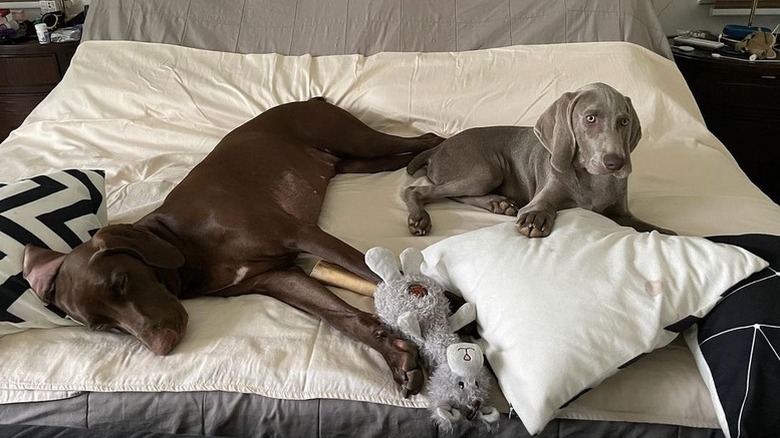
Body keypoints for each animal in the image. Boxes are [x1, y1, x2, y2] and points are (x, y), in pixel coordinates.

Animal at [21, 98, 442, 396]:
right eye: (103, 326)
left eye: (120, 282)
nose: (161, 347)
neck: (186, 243)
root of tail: (310, 98)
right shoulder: (278, 278)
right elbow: (345, 318)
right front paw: (398, 357)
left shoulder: (302, 233)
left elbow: (377, 273)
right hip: (354, 163)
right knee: (405, 157)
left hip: (354, 139)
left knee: (428, 139)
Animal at [406, 83, 672, 238]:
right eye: (590, 118)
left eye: (624, 121)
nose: (615, 162)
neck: (593, 180)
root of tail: (438, 147)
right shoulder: (544, 195)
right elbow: (541, 207)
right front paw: (535, 219)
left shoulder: (623, 213)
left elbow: (652, 228)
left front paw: (671, 234)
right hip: (485, 170)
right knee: (418, 190)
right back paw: (419, 219)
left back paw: (499, 203)